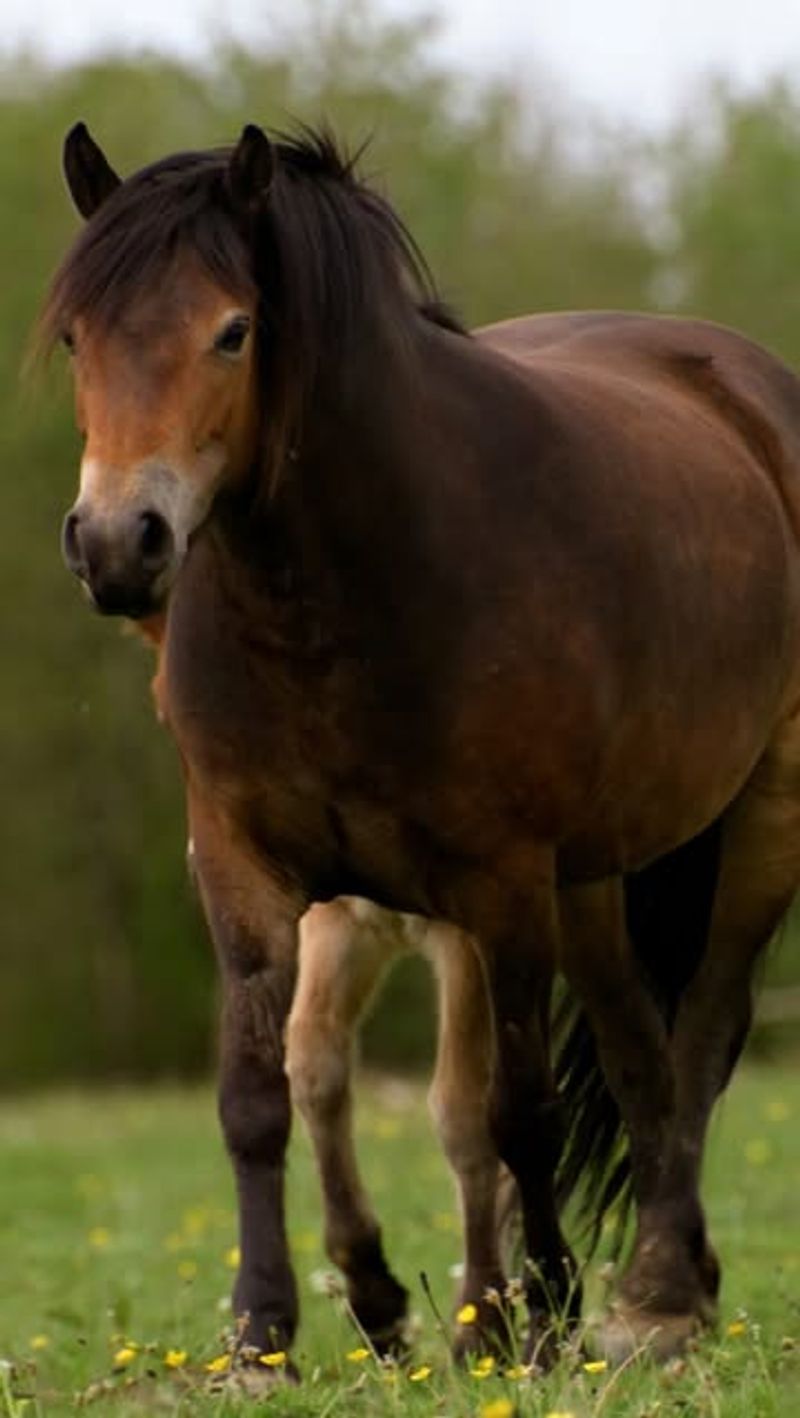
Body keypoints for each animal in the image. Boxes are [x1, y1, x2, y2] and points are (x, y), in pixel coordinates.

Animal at [46, 124, 800, 1372]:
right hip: (589, 880)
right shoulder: (249, 872)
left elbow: (505, 1110)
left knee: (702, 1028)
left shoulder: (490, 891)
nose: (118, 544)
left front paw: (526, 1315)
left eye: (232, 330)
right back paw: (662, 1294)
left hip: (759, 814)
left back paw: (648, 1293)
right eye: (76, 337)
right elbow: (260, 1094)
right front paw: (264, 1329)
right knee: (636, 1048)